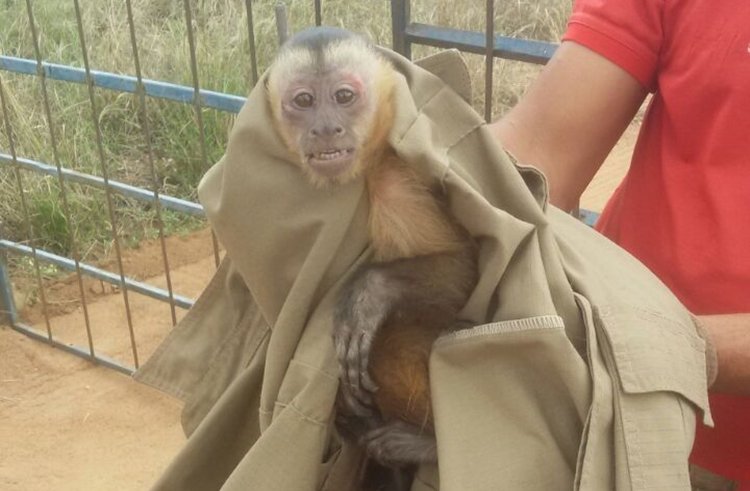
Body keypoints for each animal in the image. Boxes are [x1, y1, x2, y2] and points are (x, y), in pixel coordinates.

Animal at [266, 27, 478, 472]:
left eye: (344, 96)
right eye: (304, 101)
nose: (326, 128)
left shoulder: (396, 180)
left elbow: (463, 269)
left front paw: (368, 295)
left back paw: (427, 446)